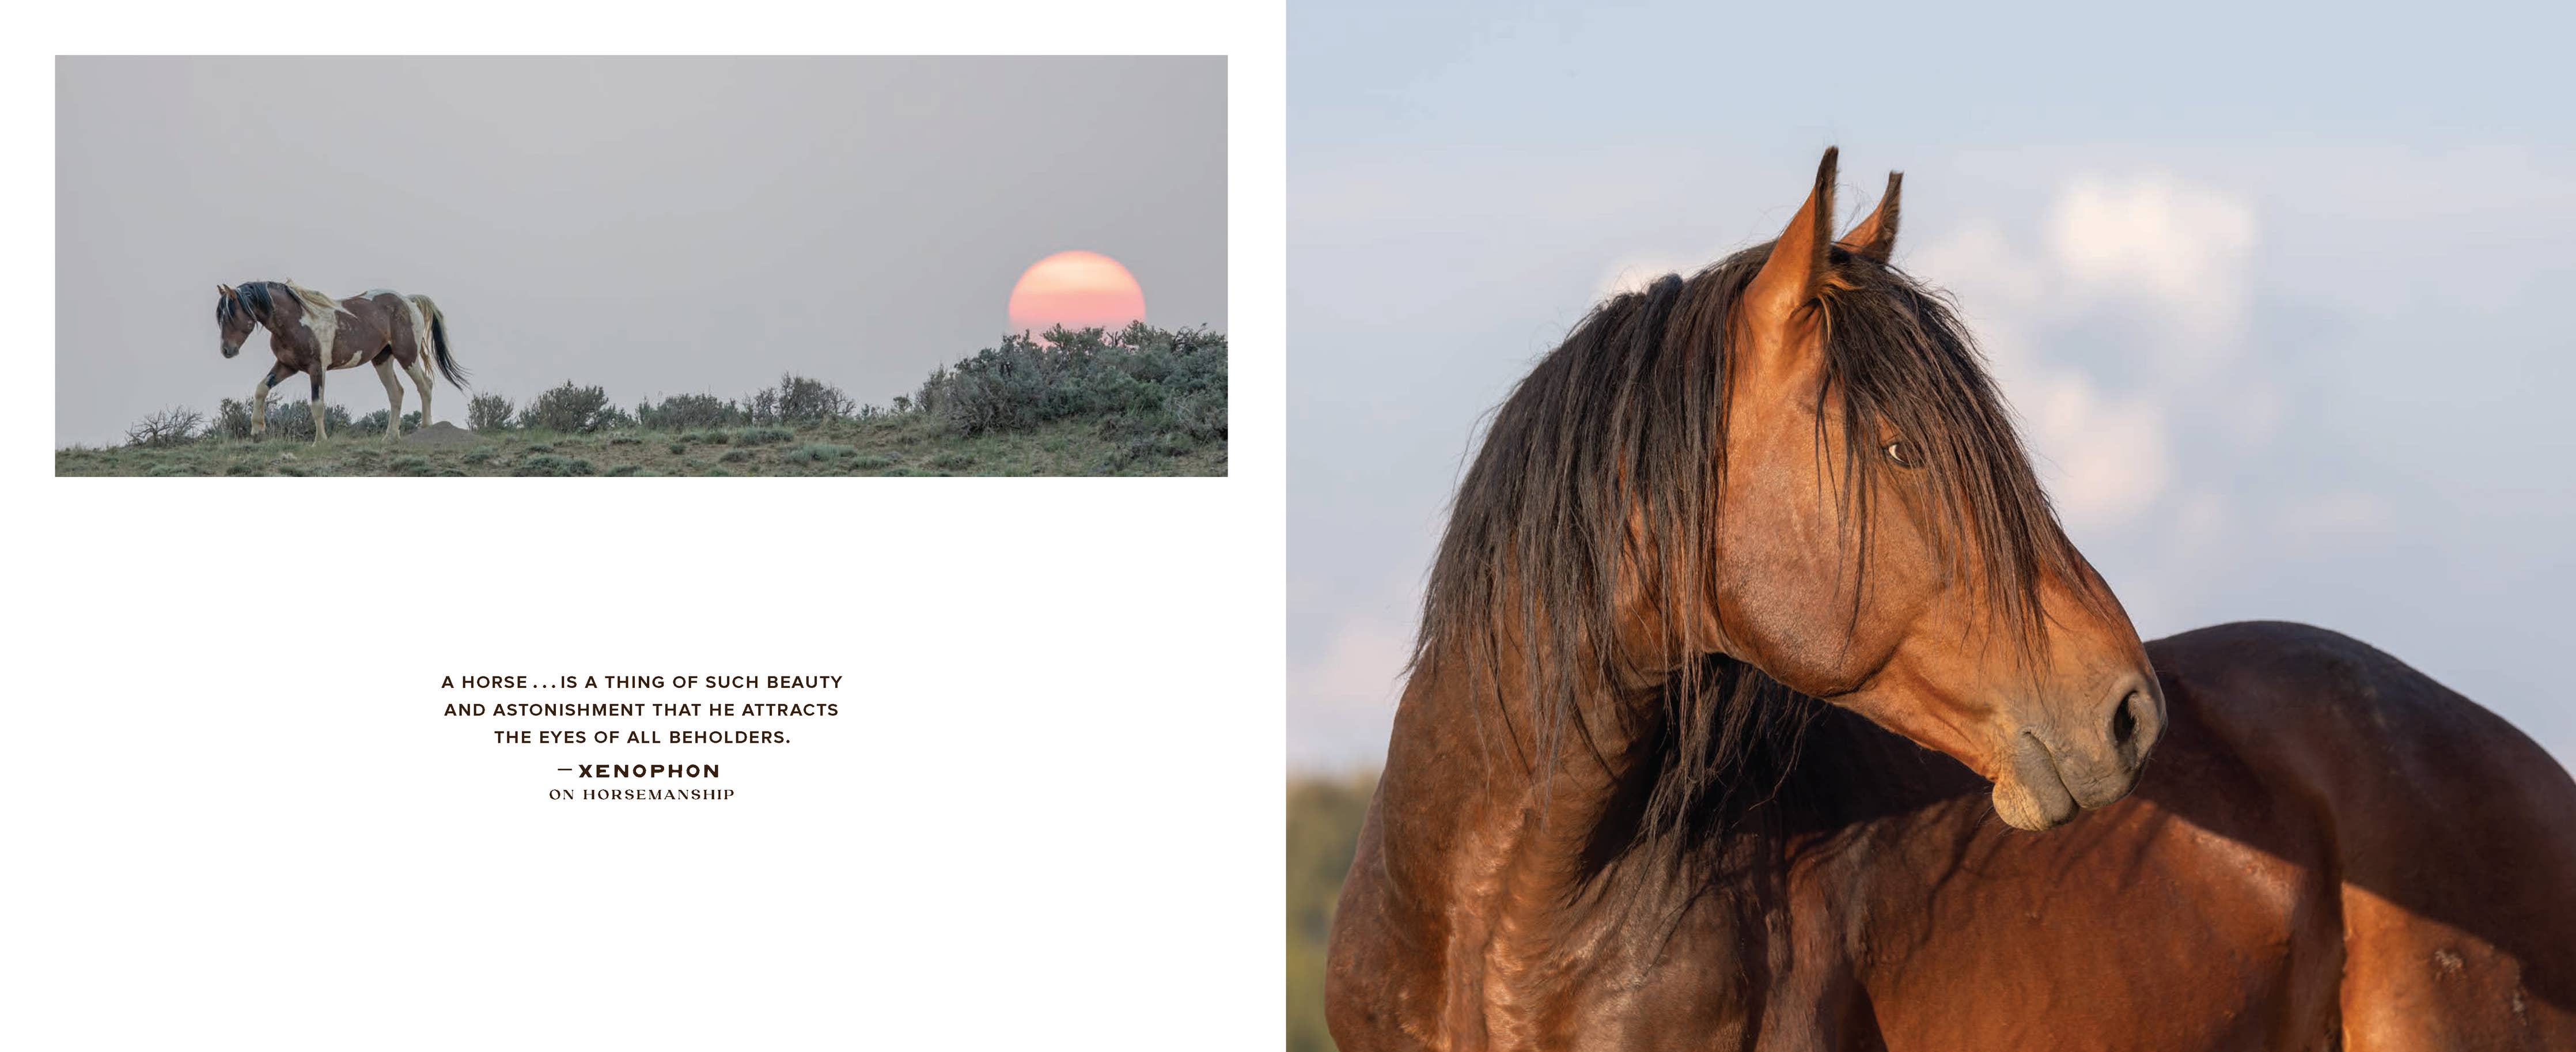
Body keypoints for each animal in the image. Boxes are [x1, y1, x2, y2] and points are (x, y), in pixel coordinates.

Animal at [215, 280, 464, 441]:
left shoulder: (317, 368)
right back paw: (390, 437)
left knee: (425, 386)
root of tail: (409, 302)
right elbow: (261, 389)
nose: (227, 350)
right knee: (397, 393)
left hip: (407, 356)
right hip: (382, 360)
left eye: (231, 314)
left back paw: (426, 428)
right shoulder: (287, 366)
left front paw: (320, 441)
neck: (297, 320)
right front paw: (257, 429)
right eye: (221, 316)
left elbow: (317, 404)